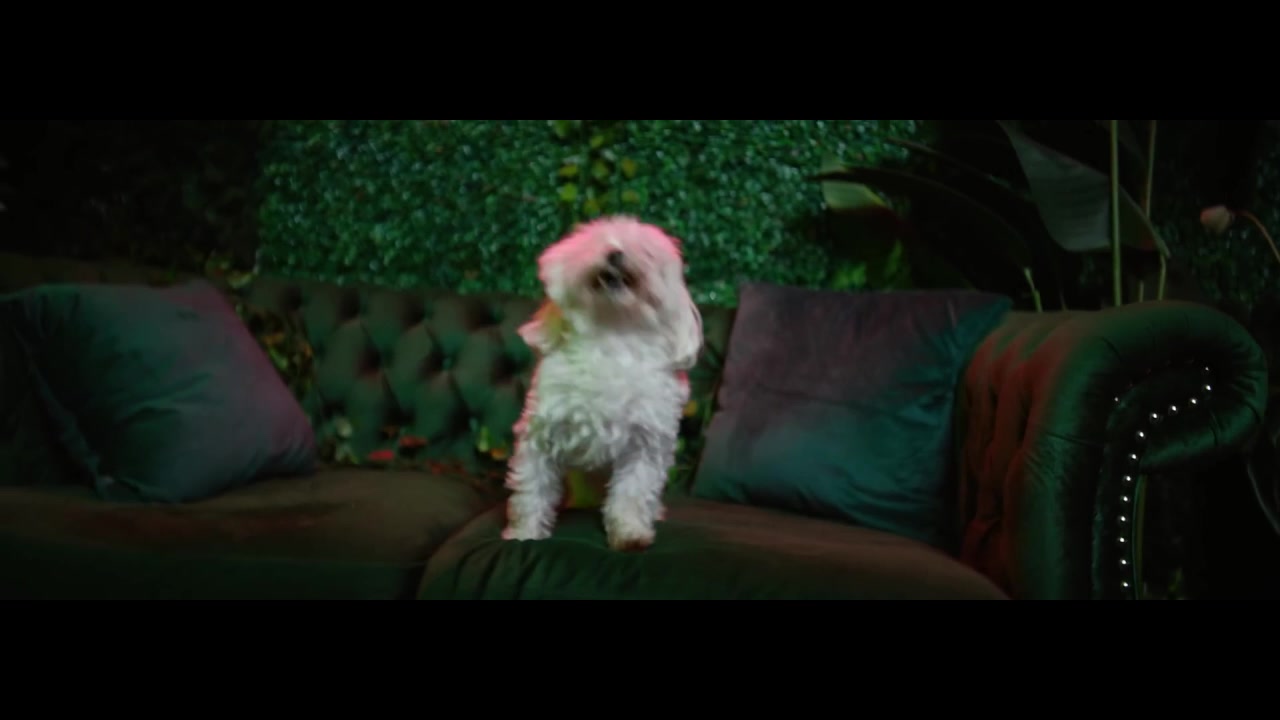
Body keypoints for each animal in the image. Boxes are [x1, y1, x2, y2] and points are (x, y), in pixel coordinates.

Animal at [501, 215, 703, 551]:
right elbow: (532, 488)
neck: (612, 336)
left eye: (646, 252)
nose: (616, 253)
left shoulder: (645, 445)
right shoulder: (540, 434)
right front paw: (524, 533)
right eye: (598, 241)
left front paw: (630, 534)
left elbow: (633, 493)